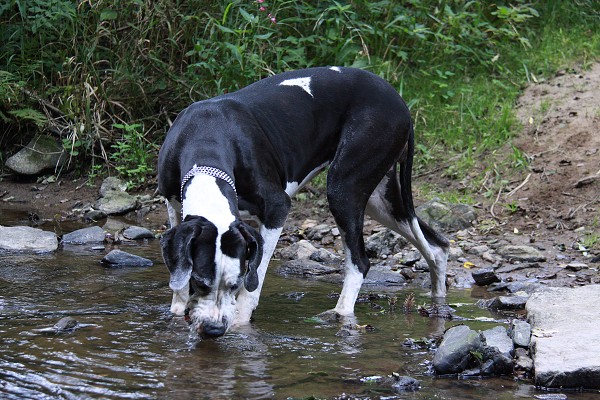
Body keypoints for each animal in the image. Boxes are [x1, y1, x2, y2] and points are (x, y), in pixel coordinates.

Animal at [157, 67, 448, 340]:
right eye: (199, 283)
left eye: (234, 284)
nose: (214, 330)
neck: (206, 139)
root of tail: (400, 102)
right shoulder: (174, 207)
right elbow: (179, 280)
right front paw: (178, 312)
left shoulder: (277, 208)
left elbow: (256, 277)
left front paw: (241, 321)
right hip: (381, 201)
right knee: (437, 245)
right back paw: (438, 297)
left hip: (344, 188)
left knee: (360, 262)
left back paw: (341, 313)